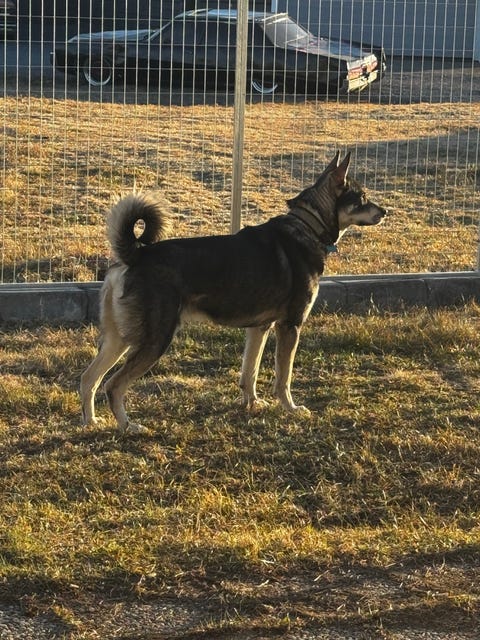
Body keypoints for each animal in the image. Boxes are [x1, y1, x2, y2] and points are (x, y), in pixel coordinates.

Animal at [80, 152, 387, 432]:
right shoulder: (290, 326)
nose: (385, 212)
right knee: (113, 385)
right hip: (154, 339)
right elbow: (283, 377)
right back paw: (128, 426)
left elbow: (249, 372)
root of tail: (136, 255)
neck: (307, 226)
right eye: (362, 197)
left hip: (118, 339)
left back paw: (91, 421)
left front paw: (252, 403)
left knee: (89, 379)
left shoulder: (260, 328)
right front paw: (290, 408)